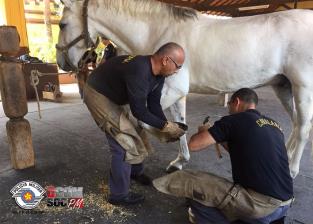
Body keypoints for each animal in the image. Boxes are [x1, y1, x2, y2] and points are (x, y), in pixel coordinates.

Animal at [56, 0, 312, 178]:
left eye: (62, 24)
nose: (61, 62)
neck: (157, 32)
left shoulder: (172, 91)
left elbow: (143, 120)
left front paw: (164, 137)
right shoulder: (173, 94)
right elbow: (180, 123)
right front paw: (179, 160)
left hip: (303, 88)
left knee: (302, 128)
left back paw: (292, 170)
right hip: (283, 87)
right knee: (297, 123)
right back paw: (286, 156)